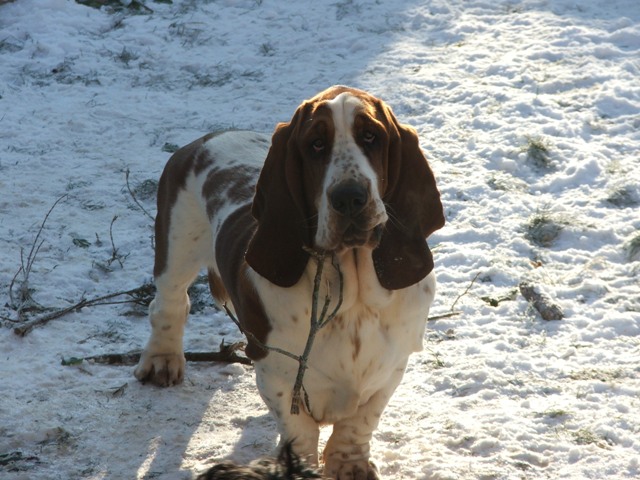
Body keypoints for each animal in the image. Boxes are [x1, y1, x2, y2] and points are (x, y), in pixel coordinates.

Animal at [134, 87, 444, 480]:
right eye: (315, 144)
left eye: (371, 136)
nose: (349, 197)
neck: (351, 290)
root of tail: (206, 139)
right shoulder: (275, 372)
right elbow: (300, 431)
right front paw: (300, 467)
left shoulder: (391, 368)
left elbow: (359, 422)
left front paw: (350, 465)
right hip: (177, 244)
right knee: (169, 303)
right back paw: (162, 360)